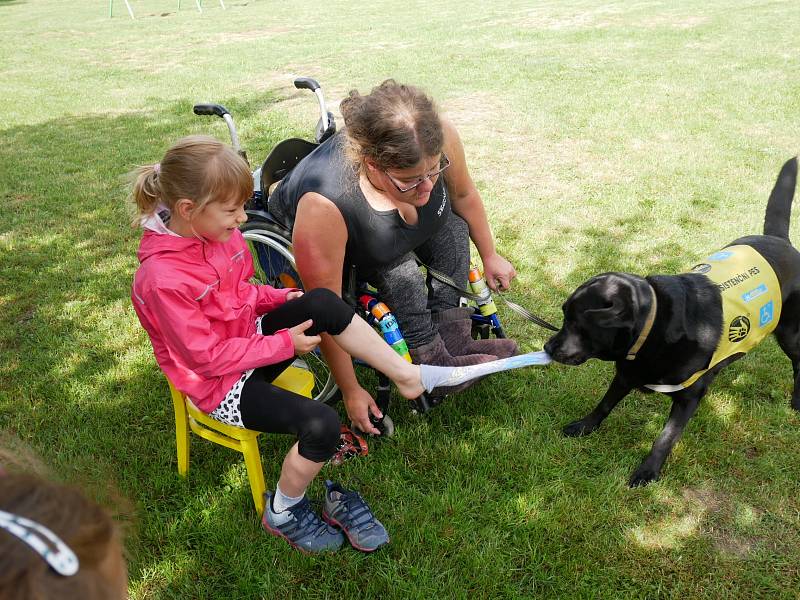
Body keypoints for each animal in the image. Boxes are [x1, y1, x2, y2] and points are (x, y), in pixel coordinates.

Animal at [544, 158, 800, 488]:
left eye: (576, 322)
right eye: (565, 314)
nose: (547, 347)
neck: (653, 327)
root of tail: (780, 240)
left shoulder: (688, 397)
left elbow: (665, 437)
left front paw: (647, 471)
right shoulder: (626, 374)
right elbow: (604, 404)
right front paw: (585, 427)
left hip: (789, 333)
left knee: (798, 362)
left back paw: (796, 401)